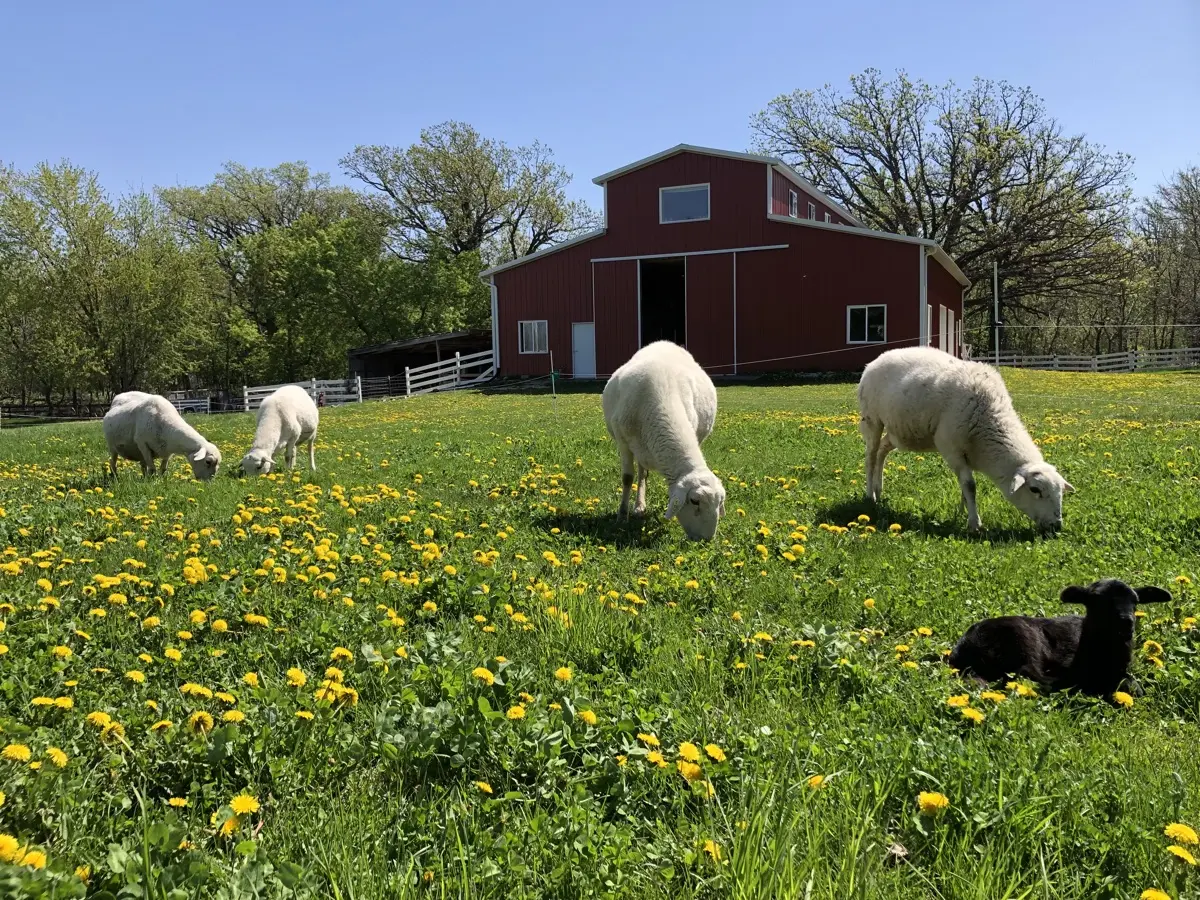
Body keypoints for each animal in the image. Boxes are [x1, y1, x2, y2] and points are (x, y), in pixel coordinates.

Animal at [601, 340, 726, 541]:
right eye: (694, 501)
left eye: (720, 502)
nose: (705, 540)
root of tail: (665, 342)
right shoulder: (623, 442)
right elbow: (627, 479)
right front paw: (621, 516)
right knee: (641, 473)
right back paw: (639, 506)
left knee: (643, 473)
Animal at [857, 346, 1074, 531]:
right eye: (1035, 490)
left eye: (1061, 492)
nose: (1056, 526)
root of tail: (877, 359)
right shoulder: (951, 448)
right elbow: (970, 486)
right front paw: (974, 523)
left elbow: (964, 486)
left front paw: (963, 513)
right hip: (872, 418)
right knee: (871, 456)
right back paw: (870, 496)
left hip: (898, 431)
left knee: (882, 451)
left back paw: (879, 489)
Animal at [948, 578, 1172, 697]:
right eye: (1096, 601)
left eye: (1136, 601)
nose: (1126, 622)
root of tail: (964, 647)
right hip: (1021, 641)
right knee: (1029, 675)